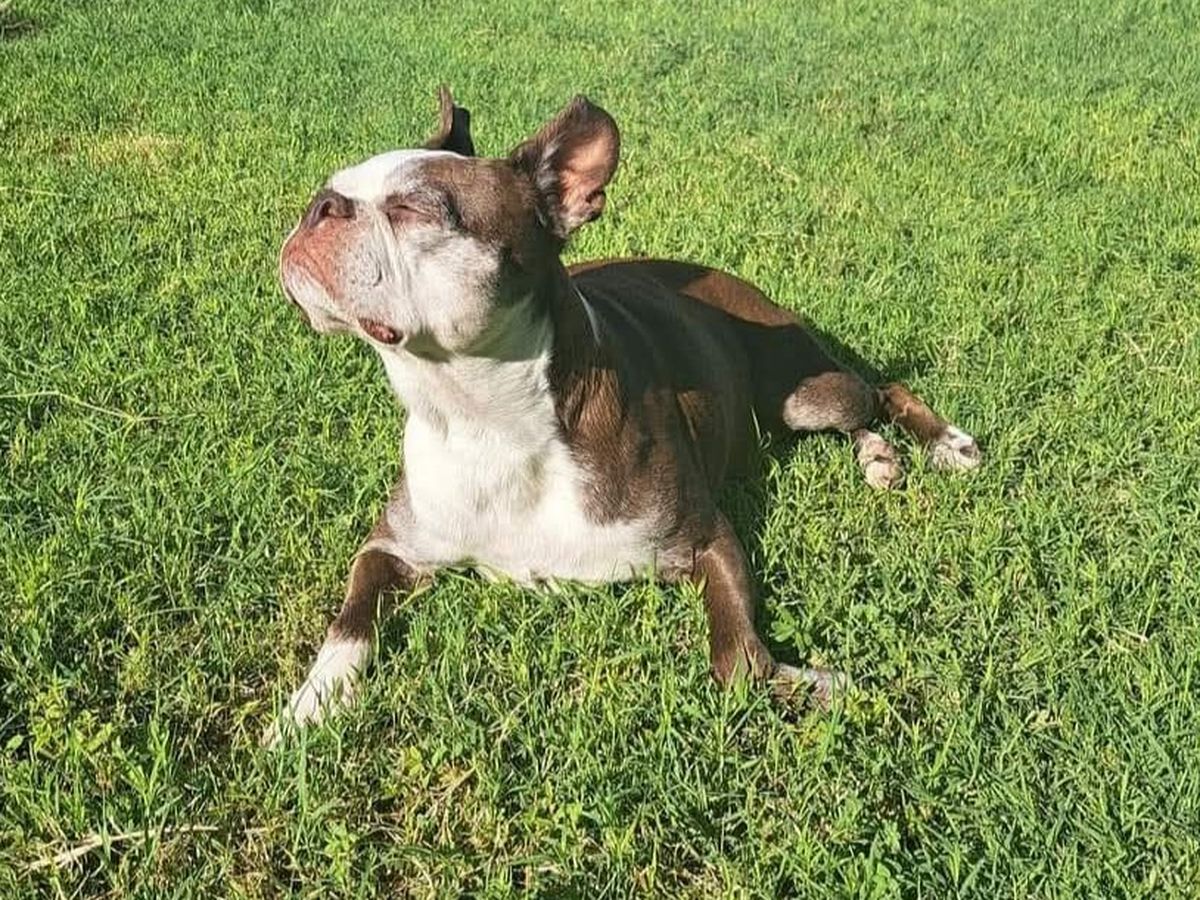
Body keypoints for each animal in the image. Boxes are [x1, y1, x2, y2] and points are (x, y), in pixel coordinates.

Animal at [267, 87, 980, 743]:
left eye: (414, 209)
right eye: (333, 188)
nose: (319, 206)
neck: (483, 421)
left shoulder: (703, 538)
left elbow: (738, 662)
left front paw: (816, 686)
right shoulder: (393, 546)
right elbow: (348, 622)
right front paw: (310, 705)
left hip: (806, 393)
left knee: (880, 389)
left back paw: (942, 444)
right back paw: (879, 457)